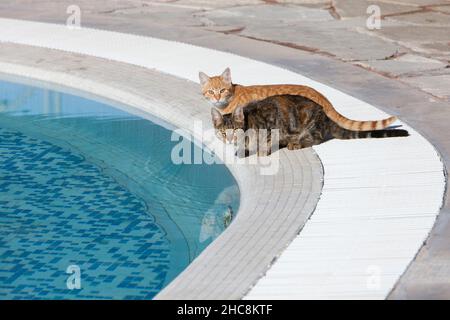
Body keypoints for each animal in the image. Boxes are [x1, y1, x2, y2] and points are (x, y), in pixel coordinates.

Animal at [211, 94, 408, 158]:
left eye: (235, 130)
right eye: (223, 132)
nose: (230, 139)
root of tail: (327, 117)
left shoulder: (271, 125)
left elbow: (265, 143)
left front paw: (261, 152)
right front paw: (241, 150)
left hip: (309, 123)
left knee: (316, 138)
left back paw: (295, 143)